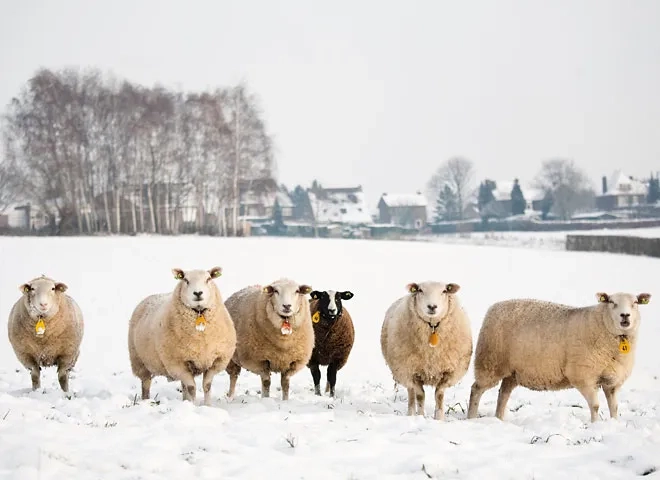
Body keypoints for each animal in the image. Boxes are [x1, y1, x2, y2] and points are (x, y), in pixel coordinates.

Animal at [127, 266, 236, 405]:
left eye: (208, 279)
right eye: (186, 280)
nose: (198, 293)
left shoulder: (216, 360)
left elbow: (207, 386)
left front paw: (207, 405)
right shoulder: (176, 363)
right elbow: (192, 388)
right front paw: (193, 406)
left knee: (183, 386)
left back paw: (185, 400)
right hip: (140, 362)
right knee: (146, 384)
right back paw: (146, 400)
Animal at [380, 281, 473, 420]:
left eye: (444, 291)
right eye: (420, 290)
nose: (432, 306)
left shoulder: (448, 371)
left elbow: (439, 395)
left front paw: (439, 418)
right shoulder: (413, 371)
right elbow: (420, 396)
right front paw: (421, 416)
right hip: (404, 371)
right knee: (411, 393)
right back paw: (411, 414)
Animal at [467, 292, 652, 423]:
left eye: (635, 303)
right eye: (612, 302)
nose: (625, 315)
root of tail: (494, 307)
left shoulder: (612, 382)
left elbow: (614, 407)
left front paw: (614, 424)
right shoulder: (583, 376)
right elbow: (595, 405)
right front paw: (595, 425)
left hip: (512, 372)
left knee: (503, 394)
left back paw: (499, 419)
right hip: (490, 363)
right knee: (476, 390)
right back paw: (471, 417)